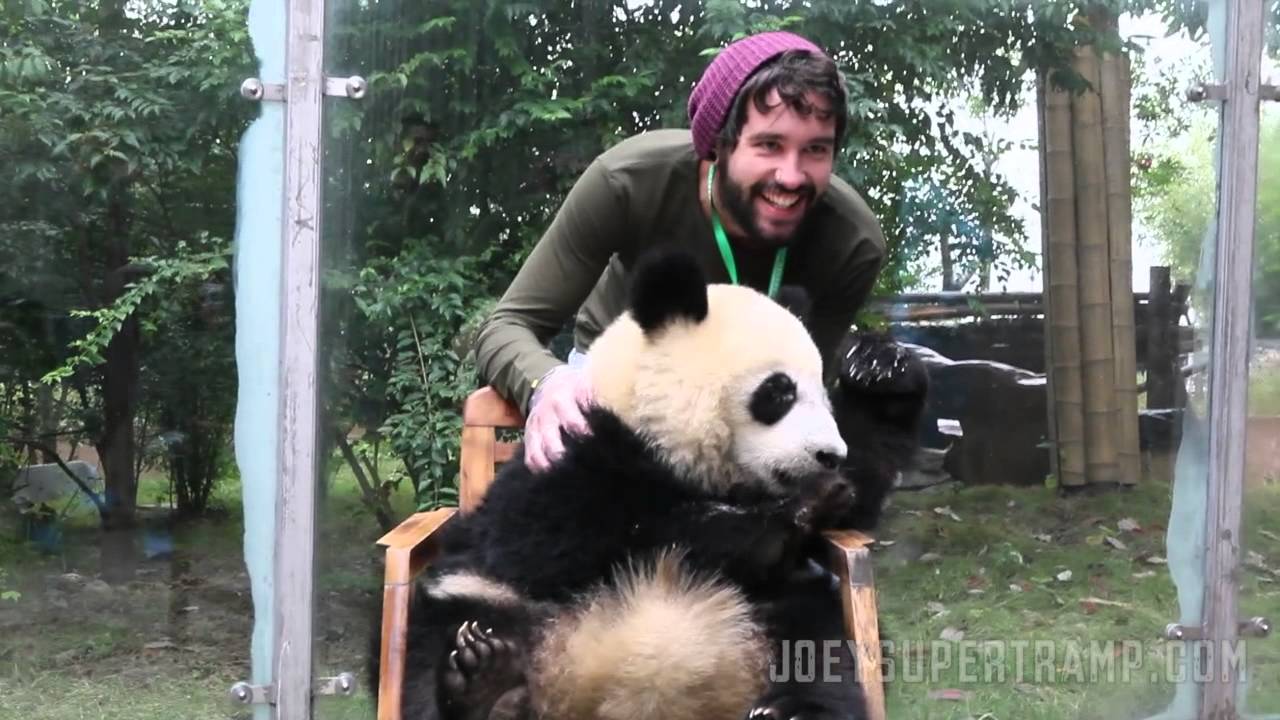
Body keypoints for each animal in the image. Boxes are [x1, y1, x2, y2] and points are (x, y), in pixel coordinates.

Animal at [372, 249, 927, 720]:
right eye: (779, 392)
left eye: (822, 396)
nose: (830, 456)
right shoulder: (559, 463)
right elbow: (571, 536)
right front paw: (789, 513)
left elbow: (863, 486)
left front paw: (881, 369)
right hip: (485, 597)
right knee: (435, 645)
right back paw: (487, 686)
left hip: (775, 614)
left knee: (820, 650)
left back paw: (791, 711)